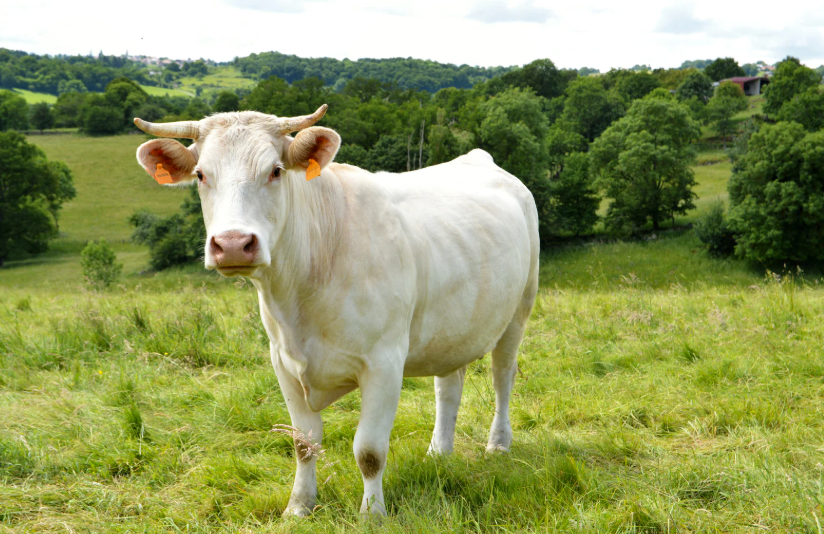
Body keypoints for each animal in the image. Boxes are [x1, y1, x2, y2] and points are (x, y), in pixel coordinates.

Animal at [133, 105, 539, 516]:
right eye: (201, 175)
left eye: (275, 170)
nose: (233, 244)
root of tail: (479, 158)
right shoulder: (283, 362)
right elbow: (303, 442)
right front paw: (298, 506)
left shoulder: (384, 363)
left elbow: (369, 451)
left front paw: (373, 514)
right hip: (453, 328)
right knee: (448, 387)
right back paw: (439, 452)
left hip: (519, 309)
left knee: (503, 376)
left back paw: (498, 443)